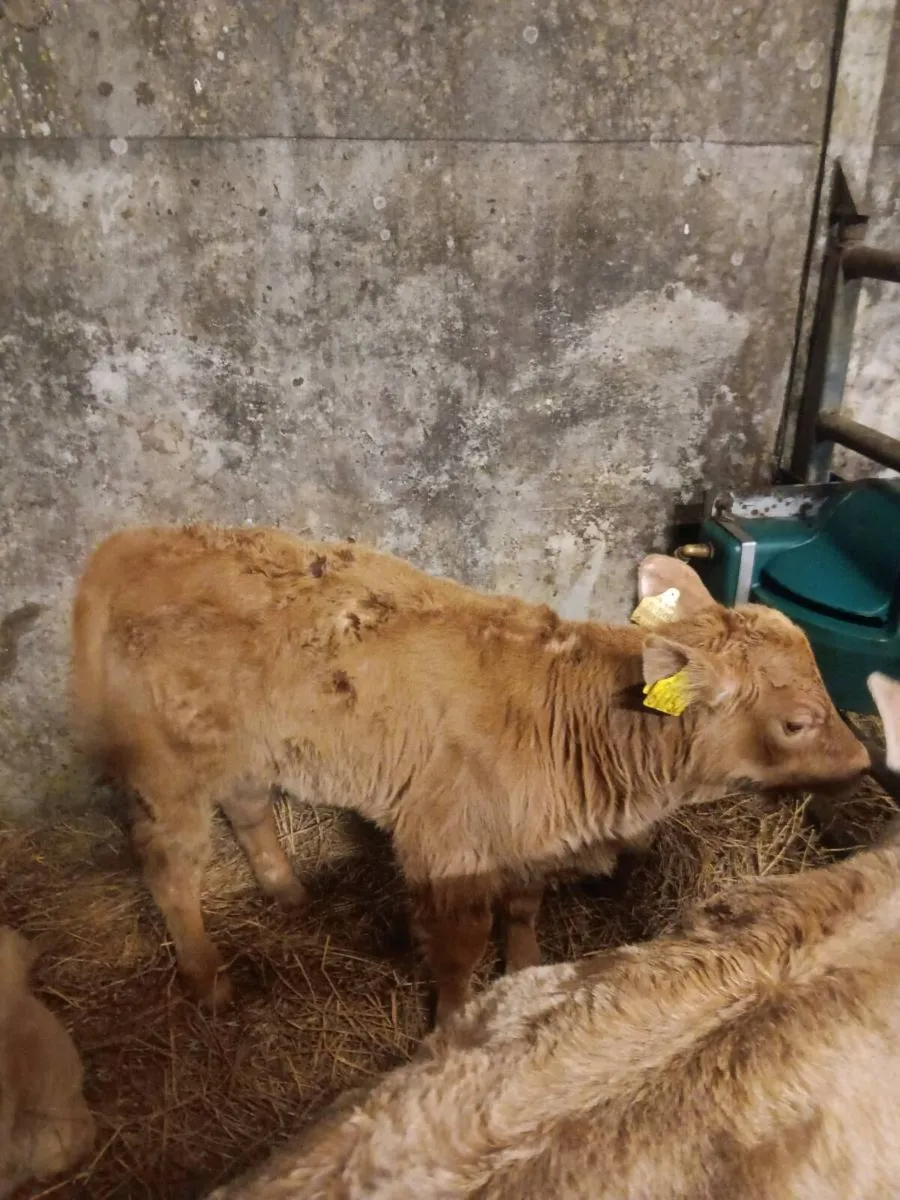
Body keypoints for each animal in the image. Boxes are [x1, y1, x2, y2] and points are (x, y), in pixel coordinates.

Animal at [71, 524, 867, 1020]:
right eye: (797, 722)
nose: (865, 761)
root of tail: (128, 541)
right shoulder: (447, 847)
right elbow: (459, 949)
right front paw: (451, 1024)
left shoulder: (529, 838)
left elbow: (523, 909)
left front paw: (525, 970)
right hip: (164, 770)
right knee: (171, 868)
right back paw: (209, 980)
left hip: (245, 745)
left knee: (246, 805)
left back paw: (286, 890)